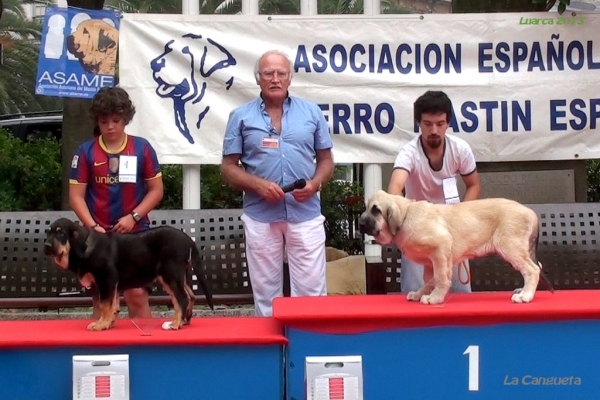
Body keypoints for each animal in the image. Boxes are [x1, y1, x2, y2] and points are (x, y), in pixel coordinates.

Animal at [44, 219, 213, 332]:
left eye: (61, 233)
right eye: (49, 232)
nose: (46, 246)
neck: (85, 247)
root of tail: (188, 240)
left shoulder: (106, 279)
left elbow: (105, 304)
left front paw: (100, 324)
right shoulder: (112, 284)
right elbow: (113, 305)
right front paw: (108, 323)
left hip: (169, 273)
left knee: (182, 298)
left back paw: (175, 324)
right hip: (178, 275)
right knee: (190, 295)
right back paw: (184, 321)